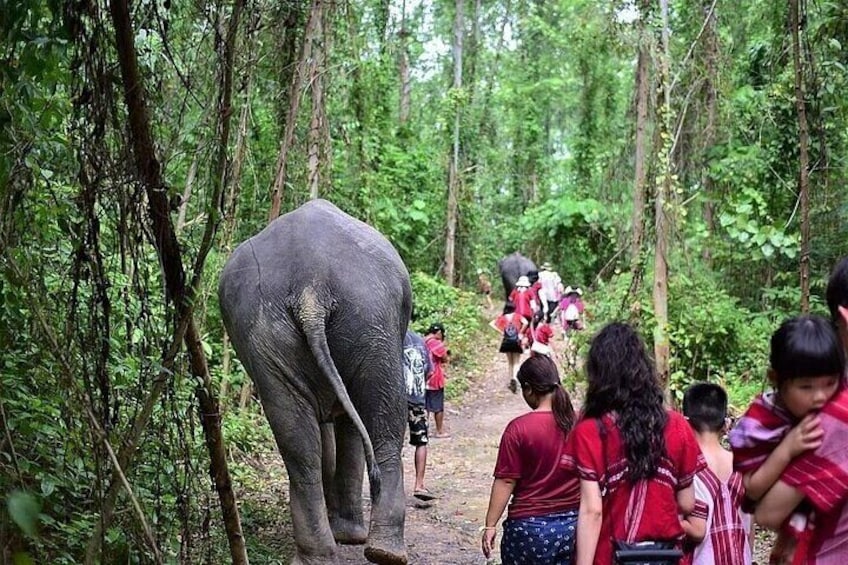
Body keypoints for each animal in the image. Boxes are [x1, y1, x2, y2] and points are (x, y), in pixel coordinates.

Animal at [217, 199, 412, 564]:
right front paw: (348, 535)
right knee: (385, 421)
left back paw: (320, 555)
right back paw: (381, 550)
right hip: (371, 317)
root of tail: (310, 287)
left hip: (266, 331)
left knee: (297, 441)